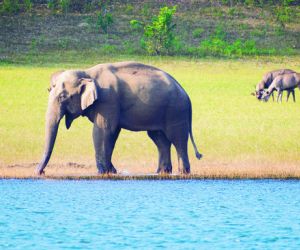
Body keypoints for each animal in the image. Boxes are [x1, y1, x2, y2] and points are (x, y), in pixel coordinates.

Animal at [36, 61, 203, 176]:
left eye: (63, 97)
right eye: (49, 90)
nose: (41, 172)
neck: (87, 72)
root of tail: (186, 94)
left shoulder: (107, 100)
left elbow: (103, 131)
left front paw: (101, 172)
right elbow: (112, 133)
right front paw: (111, 171)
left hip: (176, 110)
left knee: (177, 139)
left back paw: (183, 172)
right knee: (159, 139)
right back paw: (161, 172)